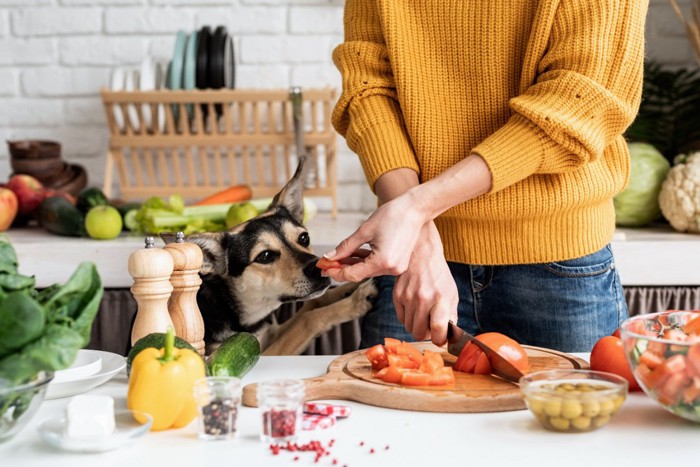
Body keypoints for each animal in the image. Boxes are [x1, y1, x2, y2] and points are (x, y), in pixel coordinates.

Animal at [162, 159, 378, 356]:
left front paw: (350, 287)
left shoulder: (271, 332)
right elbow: (308, 319)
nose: (318, 268)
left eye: (304, 237)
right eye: (265, 256)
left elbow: (312, 304)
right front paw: (356, 301)